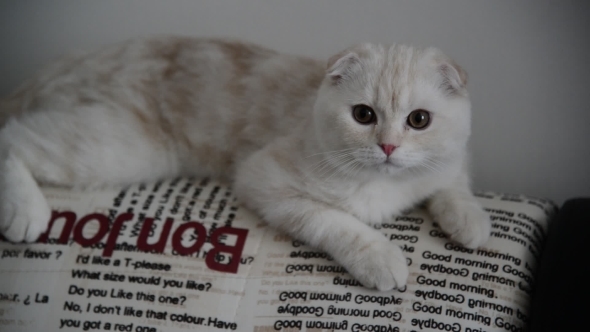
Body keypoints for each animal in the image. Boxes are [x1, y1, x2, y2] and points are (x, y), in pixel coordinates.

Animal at [0, 36, 490, 290]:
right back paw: (25, 213)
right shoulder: (264, 179)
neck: (388, 183)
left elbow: (453, 184)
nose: (388, 147)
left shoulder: (450, 161)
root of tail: (71, 60)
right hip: (118, 147)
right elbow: (338, 222)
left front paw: (471, 222)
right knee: (12, 138)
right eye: (363, 115)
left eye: (419, 120)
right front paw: (381, 258)